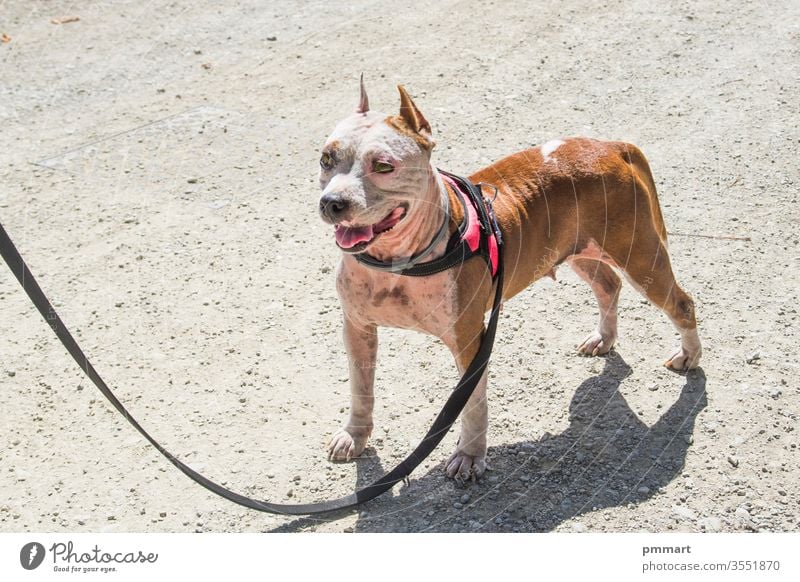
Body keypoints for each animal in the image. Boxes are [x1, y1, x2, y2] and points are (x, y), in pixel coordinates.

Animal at [316, 81, 704, 484]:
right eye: (326, 159)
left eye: (383, 166)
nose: (332, 202)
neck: (395, 264)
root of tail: (611, 146)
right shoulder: (357, 328)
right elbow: (361, 388)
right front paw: (354, 435)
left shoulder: (469, 340)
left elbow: (471, 404)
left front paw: (470, 455)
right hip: (577, 250)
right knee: (608, 286)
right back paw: (604, 338)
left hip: (640, 256)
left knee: (681, 303)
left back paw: (689, 356)